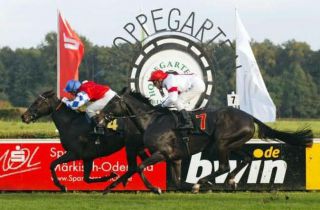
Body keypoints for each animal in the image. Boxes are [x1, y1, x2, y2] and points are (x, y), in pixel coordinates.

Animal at [21, 90, 154, 192]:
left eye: (37, 102)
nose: (23, 116)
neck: (70, 123)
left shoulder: (74, 153)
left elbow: (52, 164)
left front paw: (62, 186)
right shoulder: (88, 157)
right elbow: (87, 179)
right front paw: (109, 176)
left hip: (131, 146)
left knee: (134, 167)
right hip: (138, 148)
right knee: (142, 164)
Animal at [102, 89, 312, 193]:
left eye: (112, 102)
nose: (100, 116)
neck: (152, 120)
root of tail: (249, 116)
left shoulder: (162, 153)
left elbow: (140, 167)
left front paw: (155, 188)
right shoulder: (175, 159)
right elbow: (176, 182)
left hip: (220, 143)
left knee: (224, 166)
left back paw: (202, 182)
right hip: (233, 144)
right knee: (246, 158)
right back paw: (230, 181)